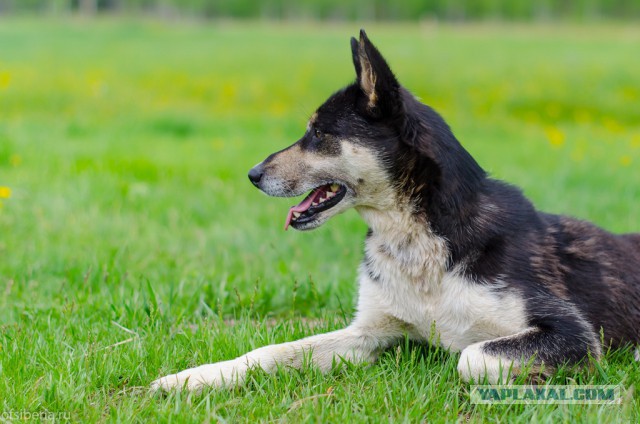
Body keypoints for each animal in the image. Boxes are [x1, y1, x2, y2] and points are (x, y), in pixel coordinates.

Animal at [151, 29, 640, 392]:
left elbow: (470, 356)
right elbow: (273, 351)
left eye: (318, 133)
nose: (253, 174)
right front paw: (193, 378)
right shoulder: (368, 333)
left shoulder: (571, 333)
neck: (417, 238)